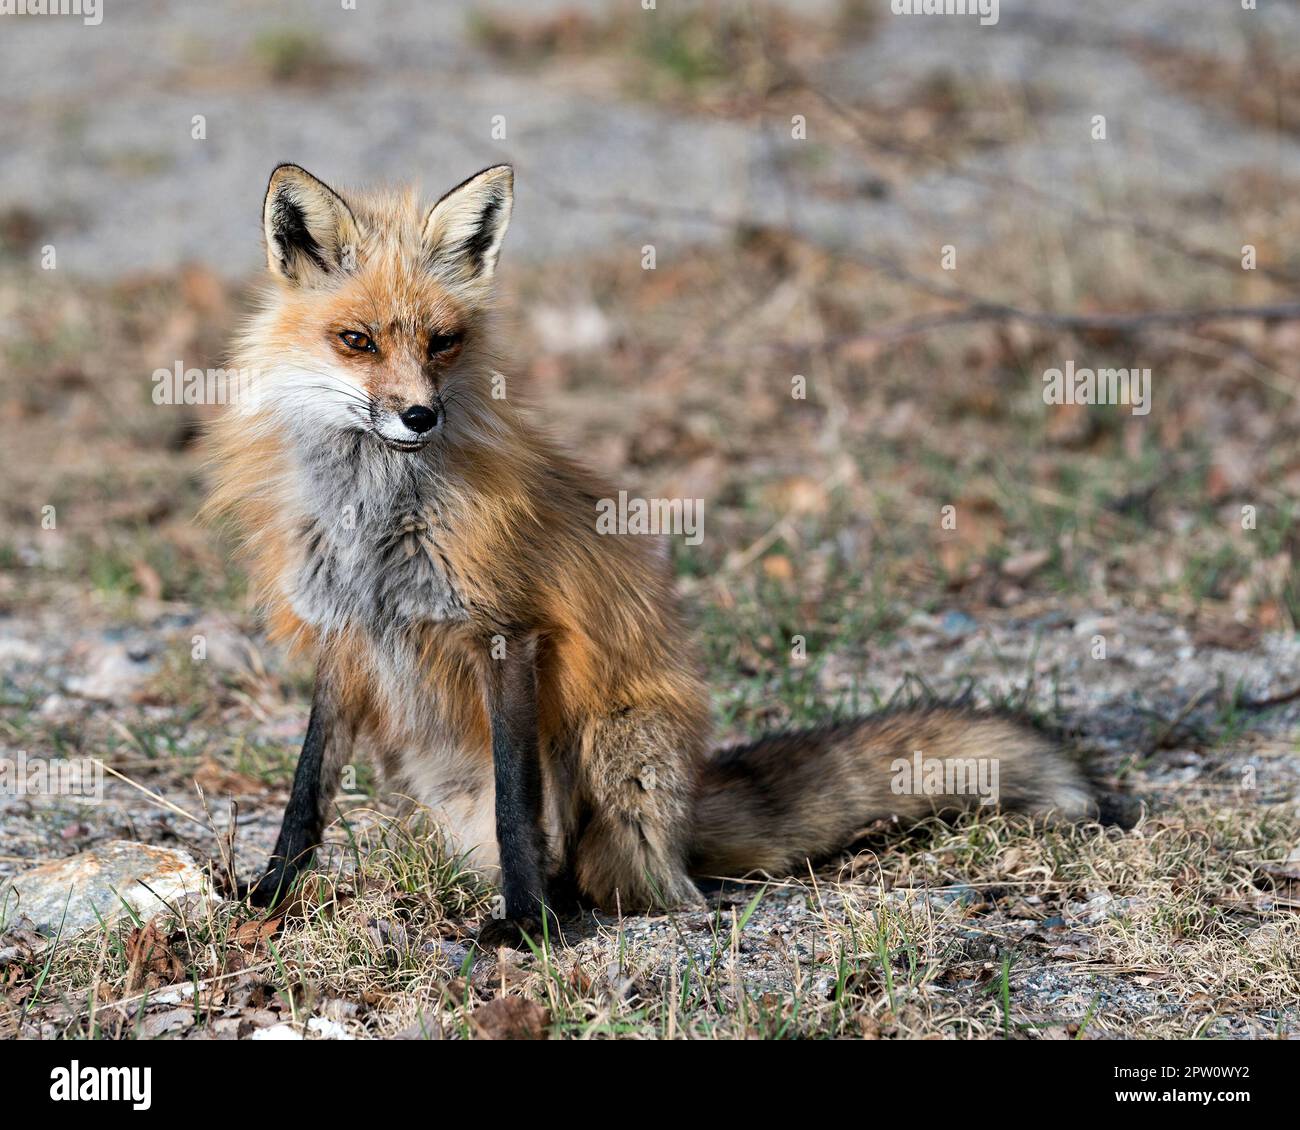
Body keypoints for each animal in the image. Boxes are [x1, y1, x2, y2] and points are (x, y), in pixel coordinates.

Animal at [208, 163, 1102, 946]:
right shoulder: (343, 635)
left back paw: (583, 902)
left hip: (614, 755)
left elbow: (516, 805)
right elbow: (307, 791)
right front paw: (270, 894)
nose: (421, 416)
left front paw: (526, 927)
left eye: (445, 341)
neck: (377, 521)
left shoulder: (510, 633)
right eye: (356, 340)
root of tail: (686, 812)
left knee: (620, 877)